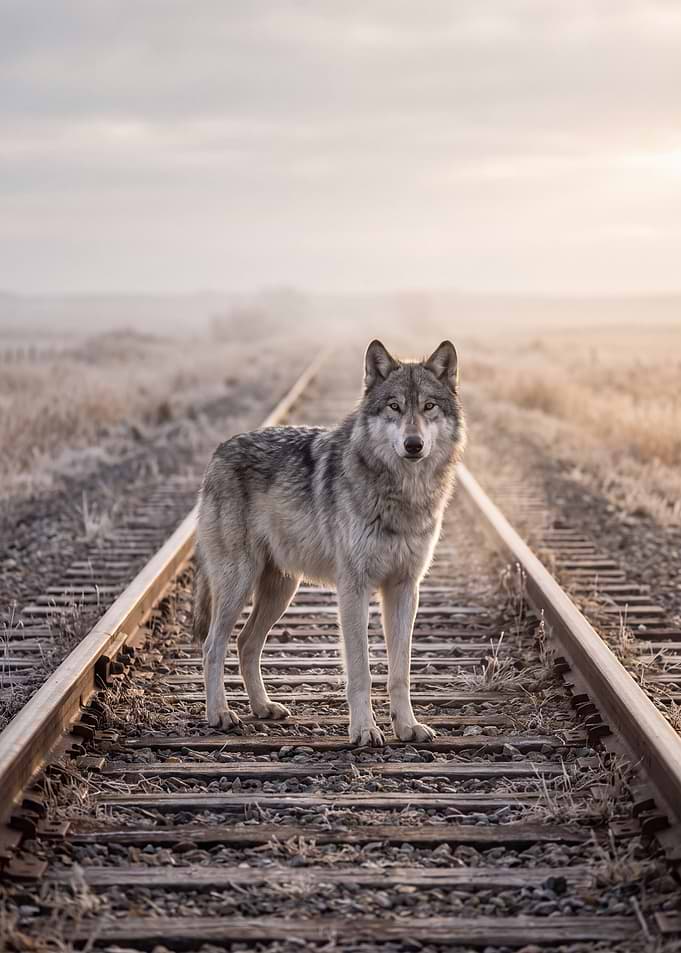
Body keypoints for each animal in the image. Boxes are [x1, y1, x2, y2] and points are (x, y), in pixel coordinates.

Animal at [193, 340, 466, 745]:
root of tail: (219, 451)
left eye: (429, 406)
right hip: (238, 584)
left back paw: (263, 707)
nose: (413, 444)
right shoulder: (354, 588)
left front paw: (407, 726)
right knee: (213, 646)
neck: (402, 492)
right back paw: (220, 714)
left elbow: (400, 672)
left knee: (245, 644)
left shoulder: (405, 588)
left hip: (280, 590)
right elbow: (361, 671)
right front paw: (364, 730)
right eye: (394, 406)